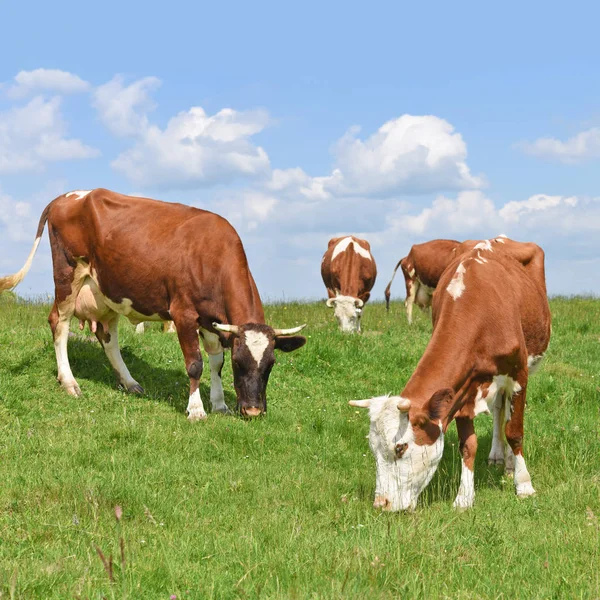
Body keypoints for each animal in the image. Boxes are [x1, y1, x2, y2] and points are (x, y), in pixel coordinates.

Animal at [0, 190, 308, 420]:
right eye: (239, 362)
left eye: (271, 363)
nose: (254, 411)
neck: (211, 254)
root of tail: (65, 197)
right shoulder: (184, 313)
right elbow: (195, 364)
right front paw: (196, 410)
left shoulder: (211, 319)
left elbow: (215, 361)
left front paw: (219, 404)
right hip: (67, 273)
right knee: (60, 324)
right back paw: (69, 382)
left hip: (109, 291)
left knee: (107, 337)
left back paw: (130, 382)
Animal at [350, 238, 552, 510]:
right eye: (373, 449)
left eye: (400, 448)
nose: (381, 504)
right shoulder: (463, 389)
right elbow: (468, 445)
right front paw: (464, 498)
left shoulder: (519, 375)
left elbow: (515, 432)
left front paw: (524, 485)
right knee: (499, 408)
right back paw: (498, 456)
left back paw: (511, 464)